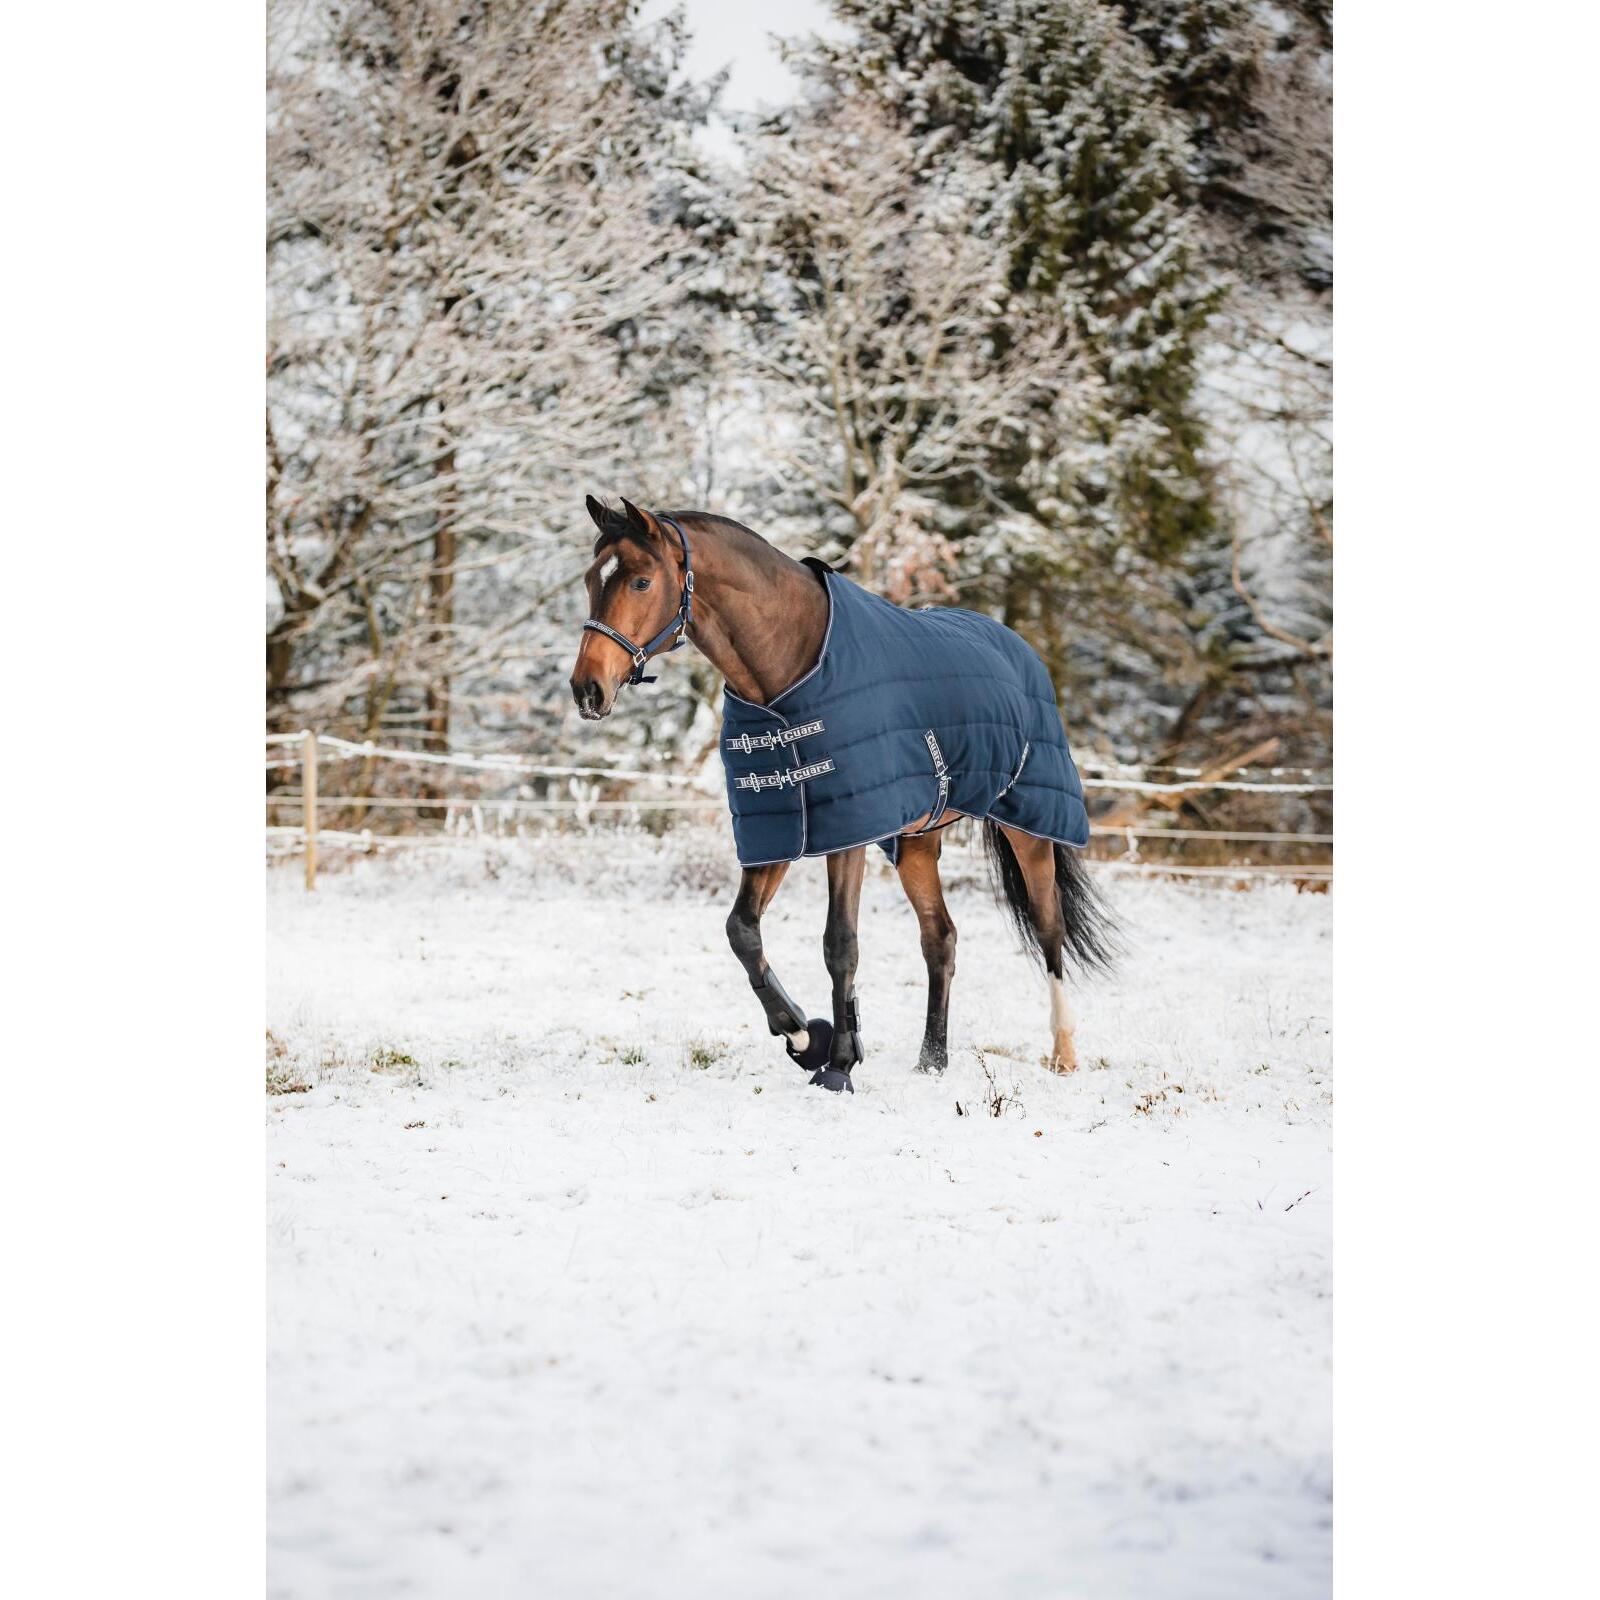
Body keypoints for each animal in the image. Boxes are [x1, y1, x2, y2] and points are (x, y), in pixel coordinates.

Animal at [568, 496, 1118, 1093]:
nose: (587, 689)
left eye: (642, 581)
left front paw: (838, 1064)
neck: (787, 675)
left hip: (1029, 825)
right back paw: (932, 1062)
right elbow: (742, 931)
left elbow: (840, 944)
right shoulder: (781, 823)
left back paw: (1063, 1054)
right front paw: (803, 1035)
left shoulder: (848, 830)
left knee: (1048, 928)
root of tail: (1019, 650)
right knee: (940, 938)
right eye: (590, 580)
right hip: (916, 842)